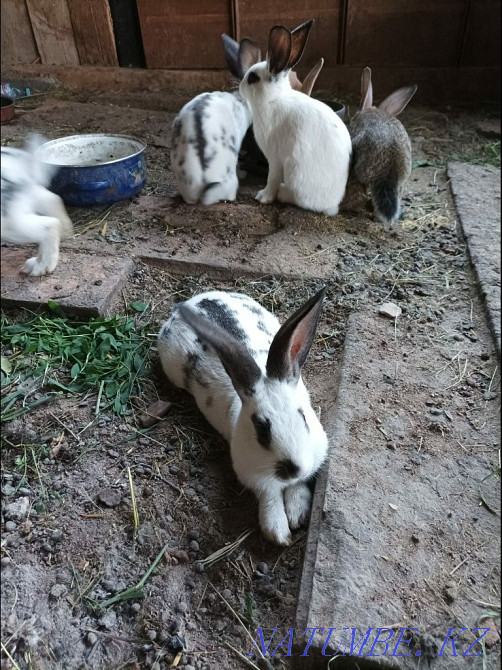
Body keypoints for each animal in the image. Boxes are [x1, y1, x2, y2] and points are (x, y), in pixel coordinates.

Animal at [158, 288, 329, 545]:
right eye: (261, 428)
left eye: (304, 418)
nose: (294, 468)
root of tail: (196, 299)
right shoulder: (253, 475)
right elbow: (270, 496)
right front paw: (278, 532)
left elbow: (298, 486)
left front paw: (298, 514)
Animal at [238, 19, 352, 216]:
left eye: (252, 78)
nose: (239, 87)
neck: (273, 100)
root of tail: (331, 205)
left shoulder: (275, 160)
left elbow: (272, 178)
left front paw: (263, 197)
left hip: (294, 170)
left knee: (299, 199)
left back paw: (282, 193)